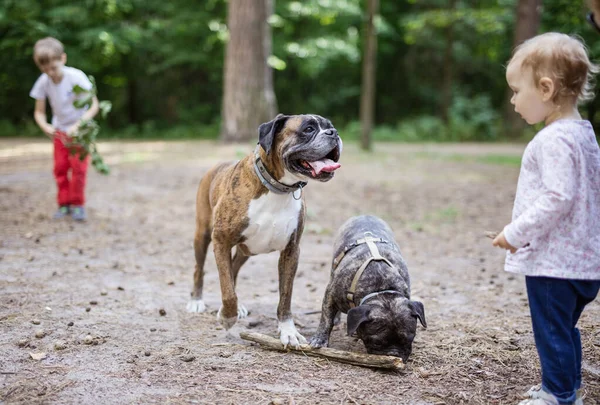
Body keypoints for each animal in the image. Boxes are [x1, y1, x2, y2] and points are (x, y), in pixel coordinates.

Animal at [190, 112, 344, 346]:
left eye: (330, 126)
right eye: (308, 129)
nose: (333, 133)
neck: (278, 188)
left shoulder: (291, 251)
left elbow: (285, 297)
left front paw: (288, 331)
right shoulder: (221, 241)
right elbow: (227, 290)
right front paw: (227, 316)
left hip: (246, 250)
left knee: (233, 269)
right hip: (203, 236)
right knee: (200, 269)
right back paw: (197, 301)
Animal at [310, 215, 426, 360]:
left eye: (409, 339)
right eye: (377, 342)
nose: (393, 354)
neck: (380, 288)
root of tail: (365, 215)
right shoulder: (331, 295)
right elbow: (326, 319)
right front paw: (320, 338)